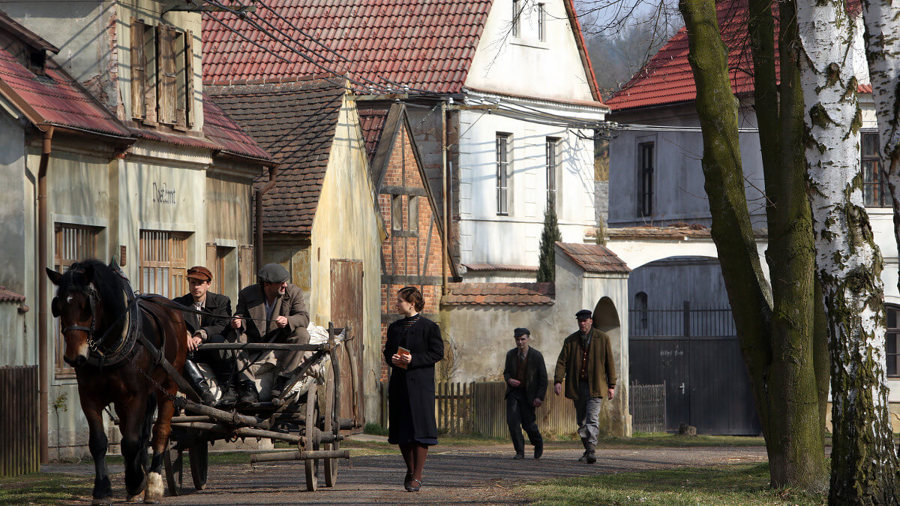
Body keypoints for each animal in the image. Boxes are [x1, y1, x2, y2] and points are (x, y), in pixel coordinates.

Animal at [47, 258, 188, 504]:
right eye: (59, 306)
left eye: (86, 305)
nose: (74, 357)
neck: (108, 346)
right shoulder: (89, 397)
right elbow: (99, 442)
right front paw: (102, 489)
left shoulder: (136, 396)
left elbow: (130, 441)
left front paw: (135, 481)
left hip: (168, 386)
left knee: (160, 431)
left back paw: (152, 483)